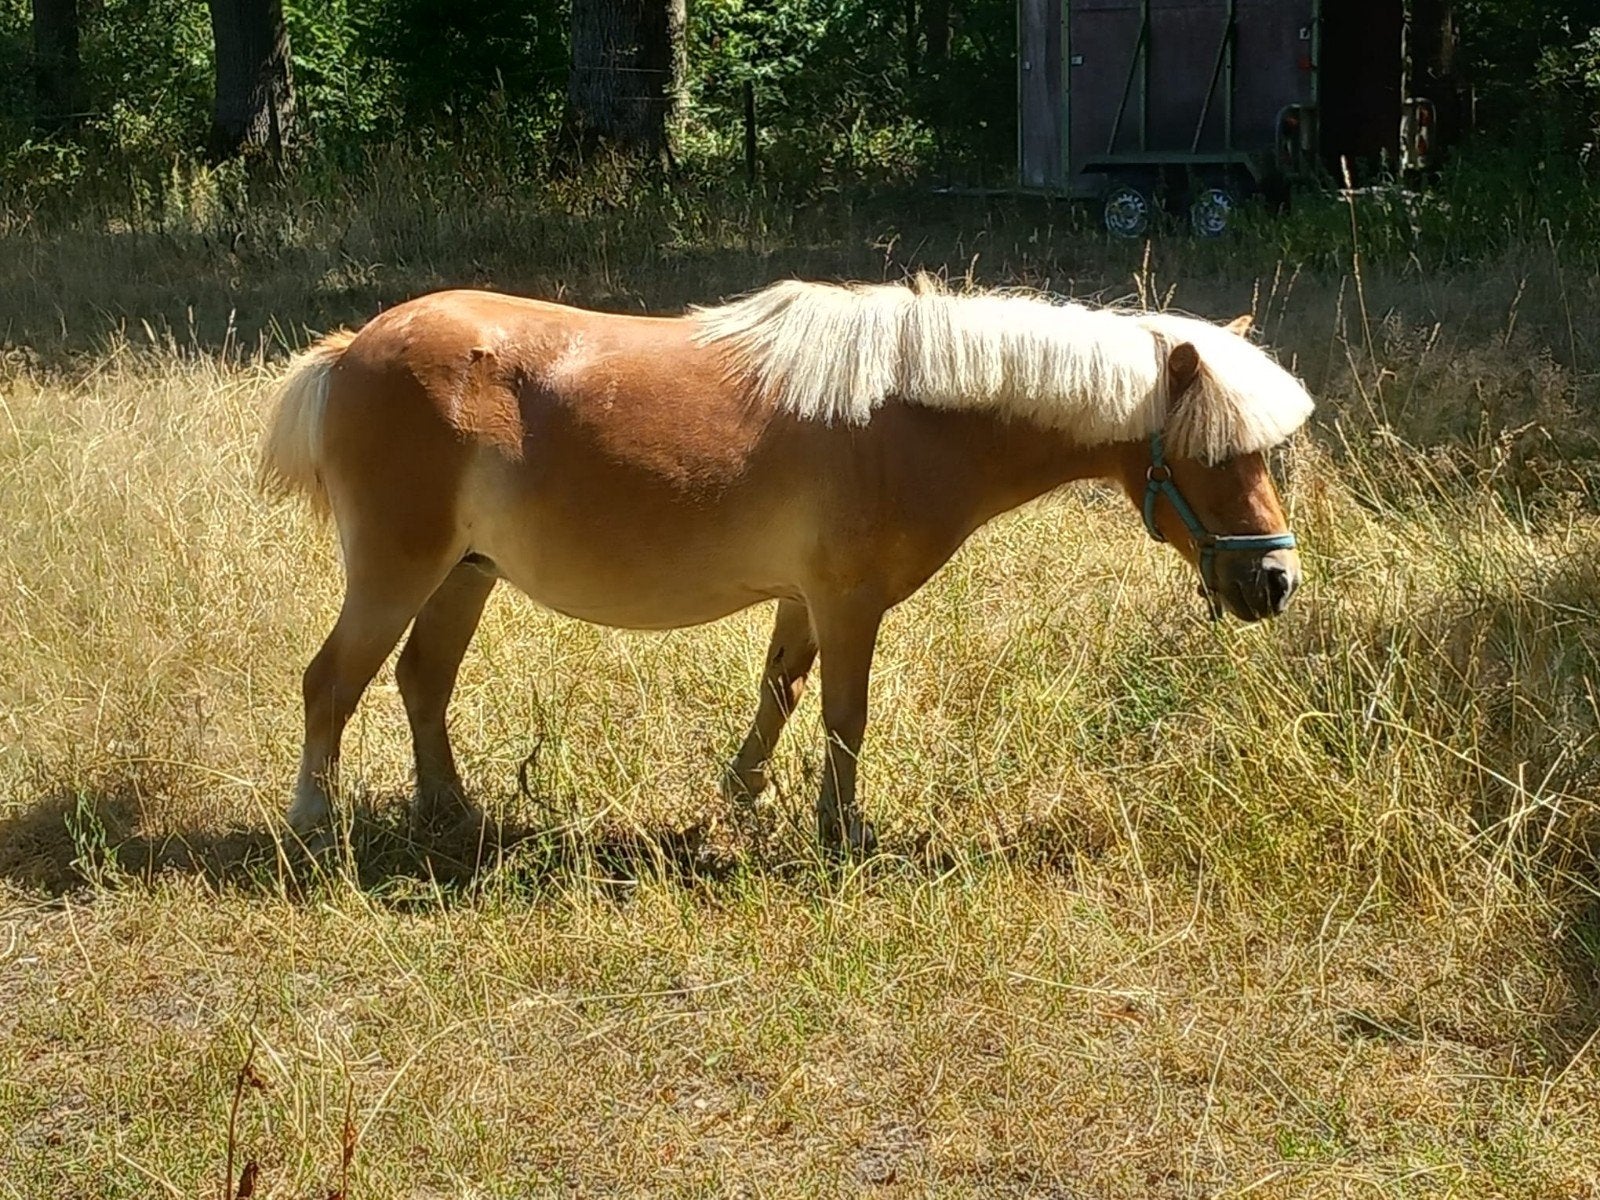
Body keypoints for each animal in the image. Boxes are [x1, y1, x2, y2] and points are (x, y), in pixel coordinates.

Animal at [258, 276, 1313, 857]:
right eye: (1221, 454)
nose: (1275, 583)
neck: (911, 415)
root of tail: (353, 349)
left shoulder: (805, 603)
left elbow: (780, 693)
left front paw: (739, 801)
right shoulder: (849, 605)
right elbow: (845, 716)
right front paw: (840, 833)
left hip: (464, 575)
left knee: (421, 681)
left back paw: (451, 812)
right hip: (397, 572)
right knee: (331, 683)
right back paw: (315, 821)